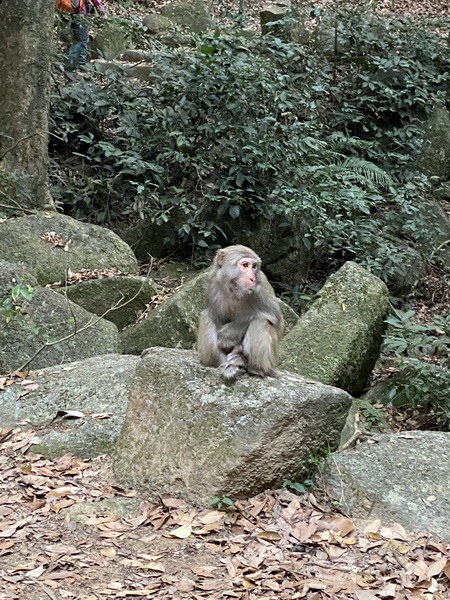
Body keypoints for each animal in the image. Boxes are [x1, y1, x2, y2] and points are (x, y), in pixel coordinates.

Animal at [198, 247, 284, 380]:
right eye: (245, 265)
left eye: (254, 266)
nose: (252, 279)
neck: (234, 290)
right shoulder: (212, 285)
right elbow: (216, 316)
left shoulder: (261, 289)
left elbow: (275, 319)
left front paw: (227, 336)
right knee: (207, 316)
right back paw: (222, 364)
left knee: (261, 322)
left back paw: (251, 367)